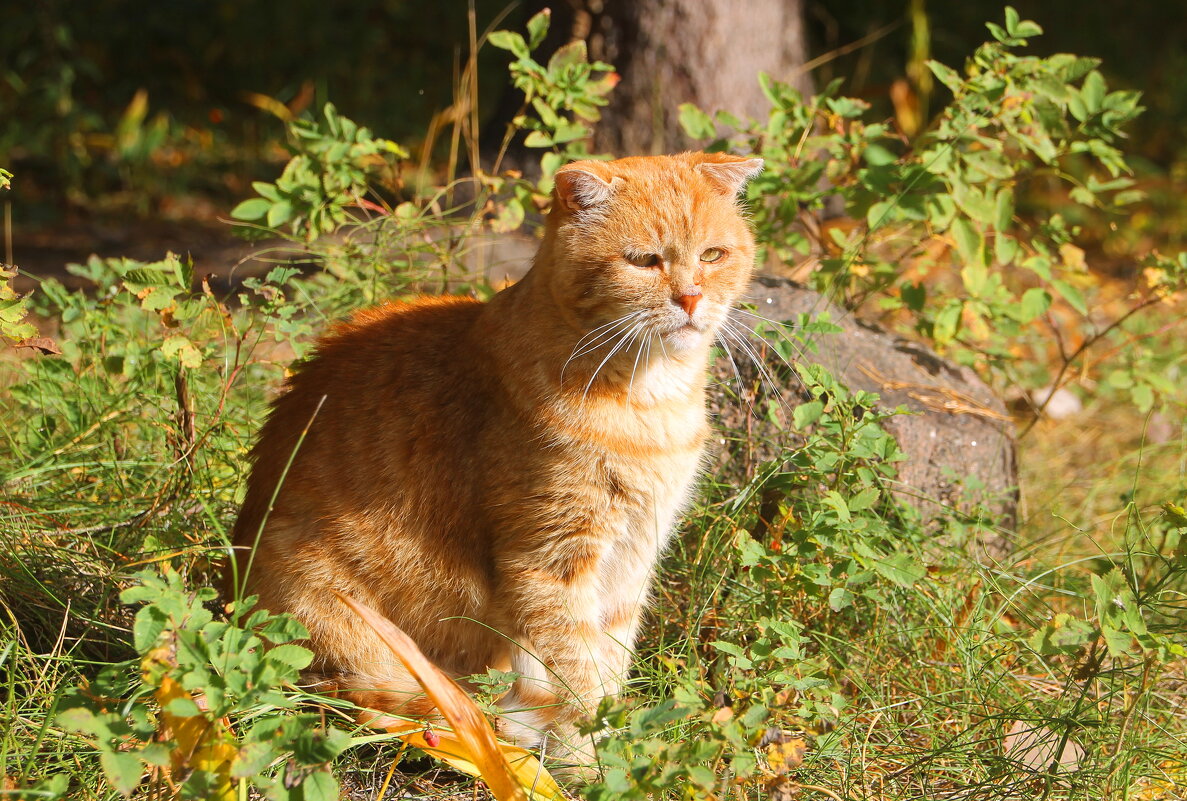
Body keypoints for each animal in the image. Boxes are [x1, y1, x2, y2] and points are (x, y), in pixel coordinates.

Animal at [227, 151, 764, 768]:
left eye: (713, 255)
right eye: (643, 261)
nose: (692, 298)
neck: (649, 401)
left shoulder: (631, 558)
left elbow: (609, 662)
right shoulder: (551, 562)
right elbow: (581, 678)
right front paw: (593, 763)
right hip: (328, 603)